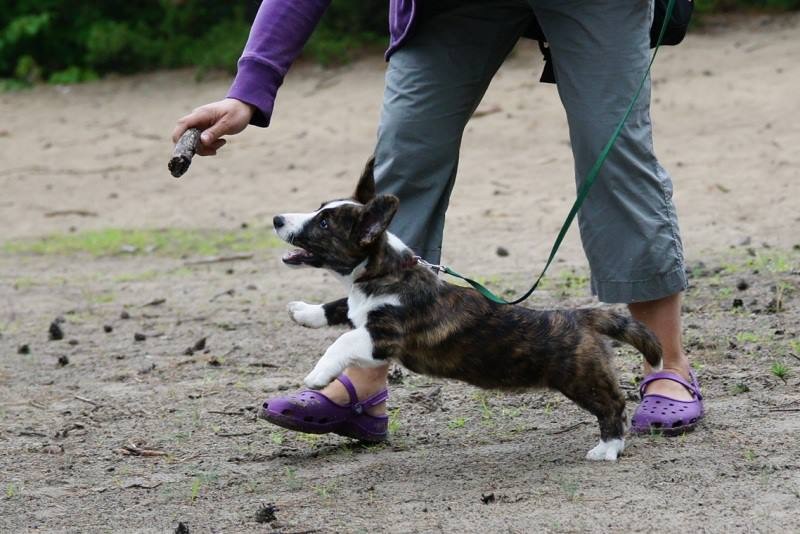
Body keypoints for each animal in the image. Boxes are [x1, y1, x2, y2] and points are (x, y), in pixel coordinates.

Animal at [274, 158, 664, 460]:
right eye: (319, 208)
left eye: (324, 223)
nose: (277, 219)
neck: (384, 272)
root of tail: (580, 315)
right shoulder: (359, 312)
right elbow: (339, 307)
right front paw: (303, 312)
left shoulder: (383, 337)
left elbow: (341, 342)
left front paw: (317, 376)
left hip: (580, 378)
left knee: (613, 404)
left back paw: (608, 448)